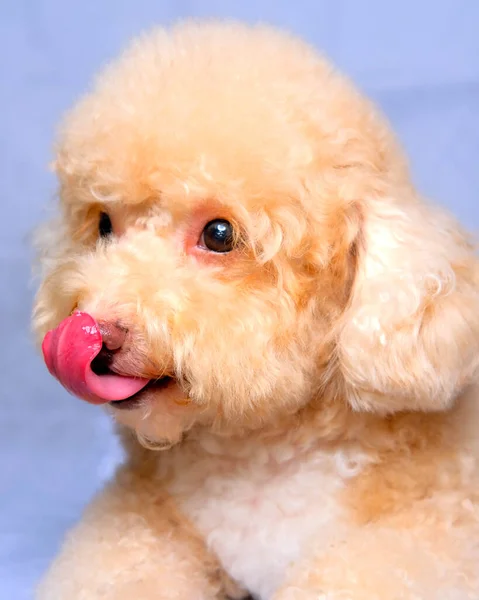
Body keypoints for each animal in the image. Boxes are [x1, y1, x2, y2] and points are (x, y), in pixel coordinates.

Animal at [32, 18, 479, 600]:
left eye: (219, 235)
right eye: (104, 224)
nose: (92, 330)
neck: (259, 452)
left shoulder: (431, 530)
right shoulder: (147, 518)